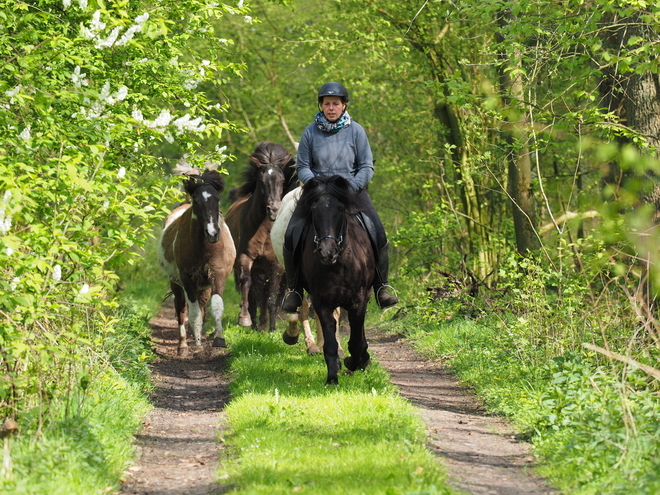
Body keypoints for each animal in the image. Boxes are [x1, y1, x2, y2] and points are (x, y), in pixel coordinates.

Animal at [159, 169, 236, 354]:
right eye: (196, 201)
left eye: (217, 199)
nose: (212, 233)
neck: (204, 247)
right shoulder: (187, 279)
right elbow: (192, 311)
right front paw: (197, 343)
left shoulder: (218, 274)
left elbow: (216, 306)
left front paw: (219, 339)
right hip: (176, 283)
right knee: (181, 308)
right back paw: (183, 345)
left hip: (204, 286)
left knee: (201, 306)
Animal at [226, 141, 296, 332]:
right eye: (262, 180)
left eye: (282, 180)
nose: (274, 210)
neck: (264, 230)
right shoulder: (246, 258)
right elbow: (247, 284)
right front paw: (245, 319)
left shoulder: (276, 265)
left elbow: (271, 298)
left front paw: (271, 329)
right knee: (256, 294)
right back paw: (257, 324)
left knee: (268, 296)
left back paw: (264, 325)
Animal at [300, 176, 376, 386]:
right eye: (314, 211)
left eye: (340, 210)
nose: (327, 252)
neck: (339, 265)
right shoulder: (322, 302)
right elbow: (330, 343)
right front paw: (332, 377)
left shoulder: (358, 301)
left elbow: (356, 341)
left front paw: (355, 362)